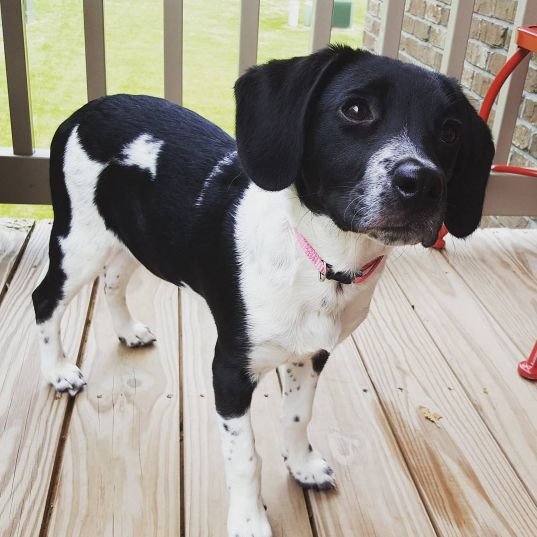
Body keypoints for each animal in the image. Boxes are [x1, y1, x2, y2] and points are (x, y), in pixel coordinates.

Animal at [33, 46, 494, 536]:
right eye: (355, 110)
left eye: (450, 131)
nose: (423, 183)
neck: (324, 264)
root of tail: (83, 113)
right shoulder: (229, 370)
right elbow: (245, 459)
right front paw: (249, 519)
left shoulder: (311, 355)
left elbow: (297, 416)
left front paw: (302, 465)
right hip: (78, 244)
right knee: (45, 300)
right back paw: (58, 371)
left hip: (129, 240)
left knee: (113, 281)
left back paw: (128, 330)